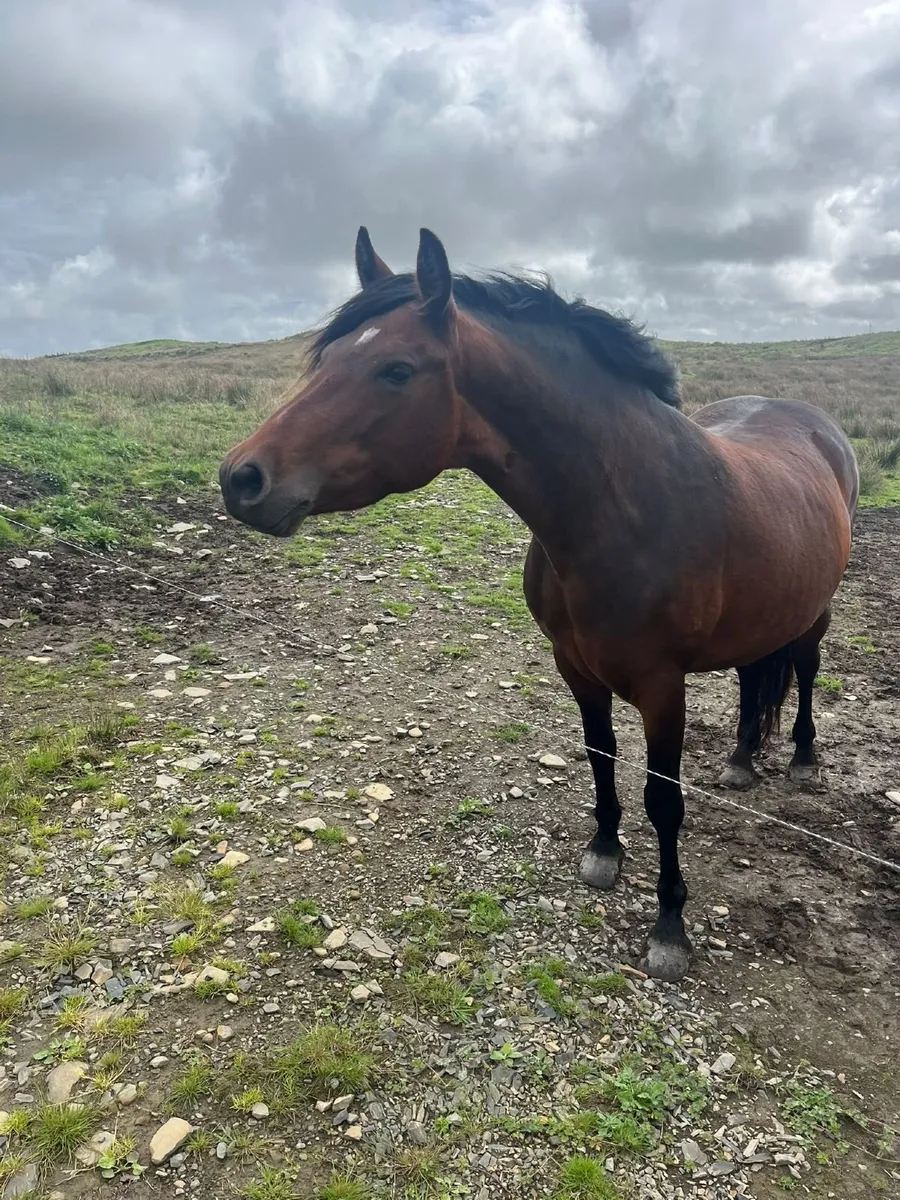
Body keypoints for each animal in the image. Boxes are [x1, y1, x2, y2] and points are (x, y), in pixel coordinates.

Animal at [219, 226, 859, 982]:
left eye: (396, 370)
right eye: (328, 359)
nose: (241, 479)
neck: (622, 512)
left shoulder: (661, 685)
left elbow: (664, 800)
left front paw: (670, 926)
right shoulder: (576, 668)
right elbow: (600, 757)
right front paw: (605, 851)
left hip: (815, 613)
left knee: (806, 671)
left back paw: (803, 759)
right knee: (751, 677)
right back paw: (739, 757)